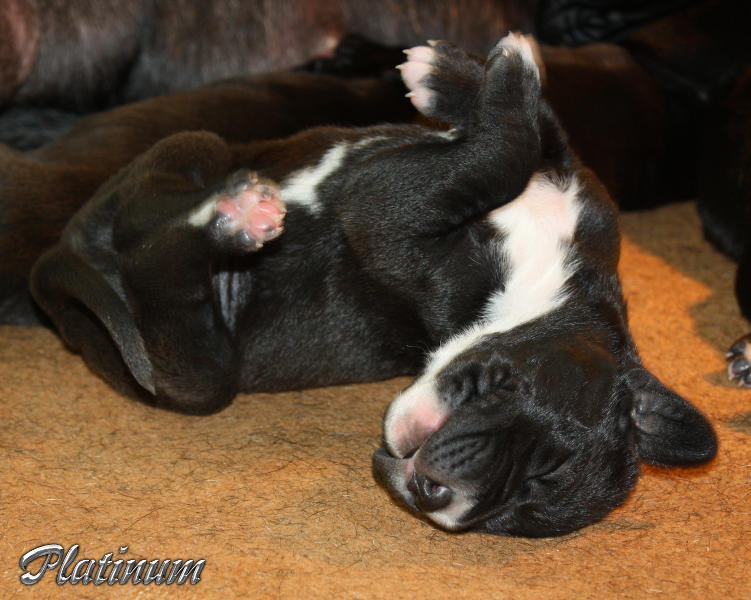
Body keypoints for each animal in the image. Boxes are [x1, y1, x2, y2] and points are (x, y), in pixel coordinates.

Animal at [28, 34, 716, 537]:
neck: (554, 290)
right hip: (197, 144)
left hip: (193, 373)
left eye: (517, 508)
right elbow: (540, 133)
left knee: (160, 271)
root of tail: (62, 264)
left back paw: (236, 221)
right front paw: (469, 75)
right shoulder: (575, 193)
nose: (434, 496)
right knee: (158, 194)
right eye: (548, 468)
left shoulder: (387, 213)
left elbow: (497, 154)